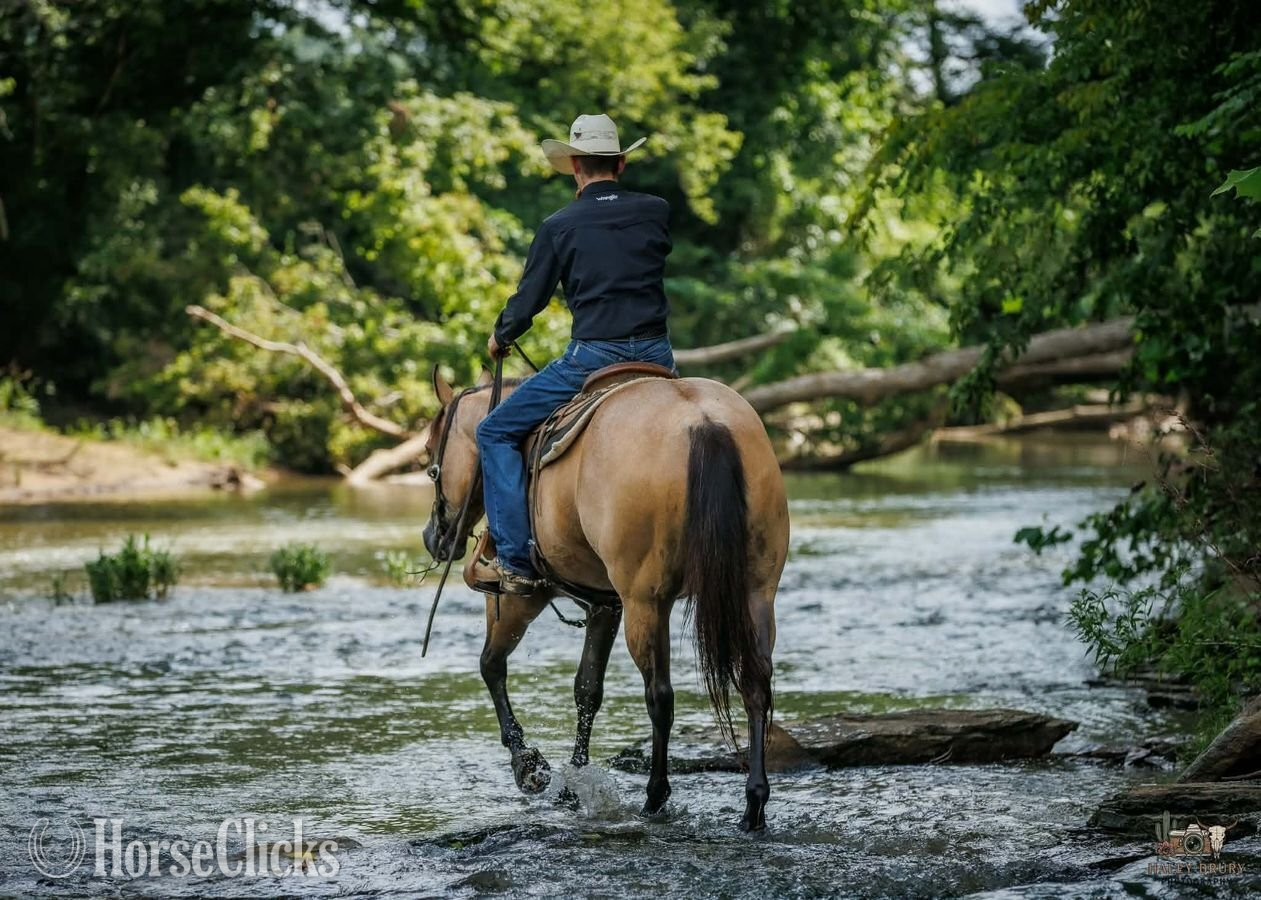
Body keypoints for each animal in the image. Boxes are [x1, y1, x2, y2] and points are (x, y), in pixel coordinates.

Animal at [421, 366, 789, 831]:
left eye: (429, 460)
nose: (433, 537)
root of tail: (705, 422)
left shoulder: (525, 597)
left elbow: (491, 666)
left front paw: (529, 768)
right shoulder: (605, 604)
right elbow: (587, 689)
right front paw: (572, 786)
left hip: (645, 601)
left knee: (660, 696)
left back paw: (654, 799)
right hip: (755, 592)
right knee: (755, 684)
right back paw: (753, 806)